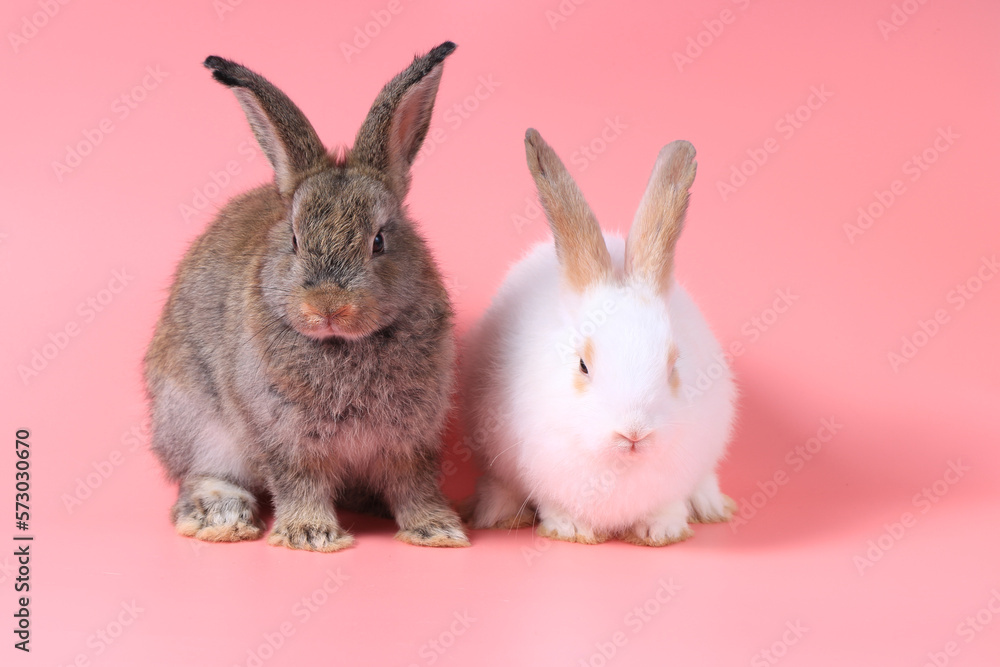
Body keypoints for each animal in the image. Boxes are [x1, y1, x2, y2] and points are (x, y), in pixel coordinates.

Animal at [144, 42, 469, 552]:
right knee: (200, 473)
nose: (327, 306)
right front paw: (312, 535)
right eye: (294, 240)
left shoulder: (411, 437)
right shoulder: (283, 434)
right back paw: (220, 517)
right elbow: (301, 481)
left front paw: (436, 530)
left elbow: (412, 482)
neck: (342, 346)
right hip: (194, 420)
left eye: (379, 241)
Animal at [460, 129, 736, 546]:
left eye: (673, 367)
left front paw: (661, 530)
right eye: (583, 365)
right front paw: (571, 529)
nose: (634, 433)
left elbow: (667, 506)